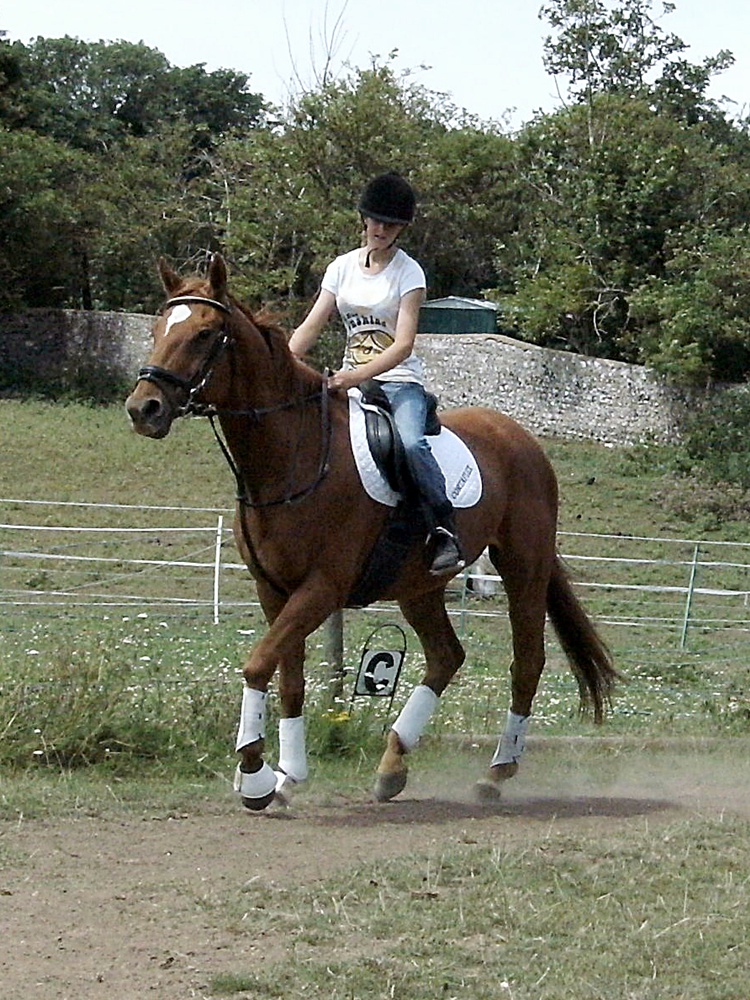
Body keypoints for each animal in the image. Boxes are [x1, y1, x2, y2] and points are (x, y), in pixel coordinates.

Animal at [125, 254, 617, 811]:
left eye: (205, 334)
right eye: (159, 329)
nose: (144, 408)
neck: (293, 456)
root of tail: (522, 440)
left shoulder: (321, 588)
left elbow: (257, 665)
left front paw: (254, 776)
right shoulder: (274, 590)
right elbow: (288, 680)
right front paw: (288, 776)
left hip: (523, 568)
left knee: (526, 662)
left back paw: (496, 773)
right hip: (419, 586)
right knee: (446, 656)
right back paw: (392, 764)